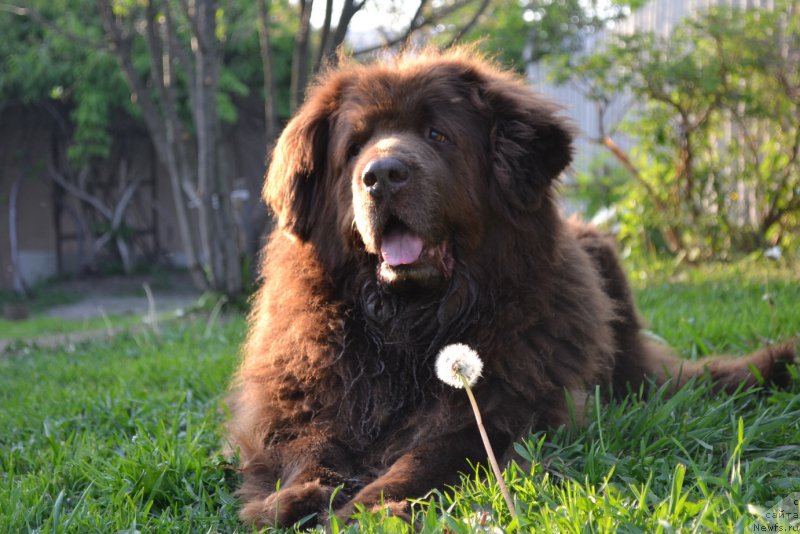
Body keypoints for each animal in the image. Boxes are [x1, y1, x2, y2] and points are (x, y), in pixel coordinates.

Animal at [225, 47, 792, 528]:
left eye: (437, 135)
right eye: (355, 146)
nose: (382, 174)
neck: (409, 325)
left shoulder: (506, 407)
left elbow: (433, 454)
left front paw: (368, 509)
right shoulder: (304, 403)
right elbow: (308, 448)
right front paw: (296, 499)